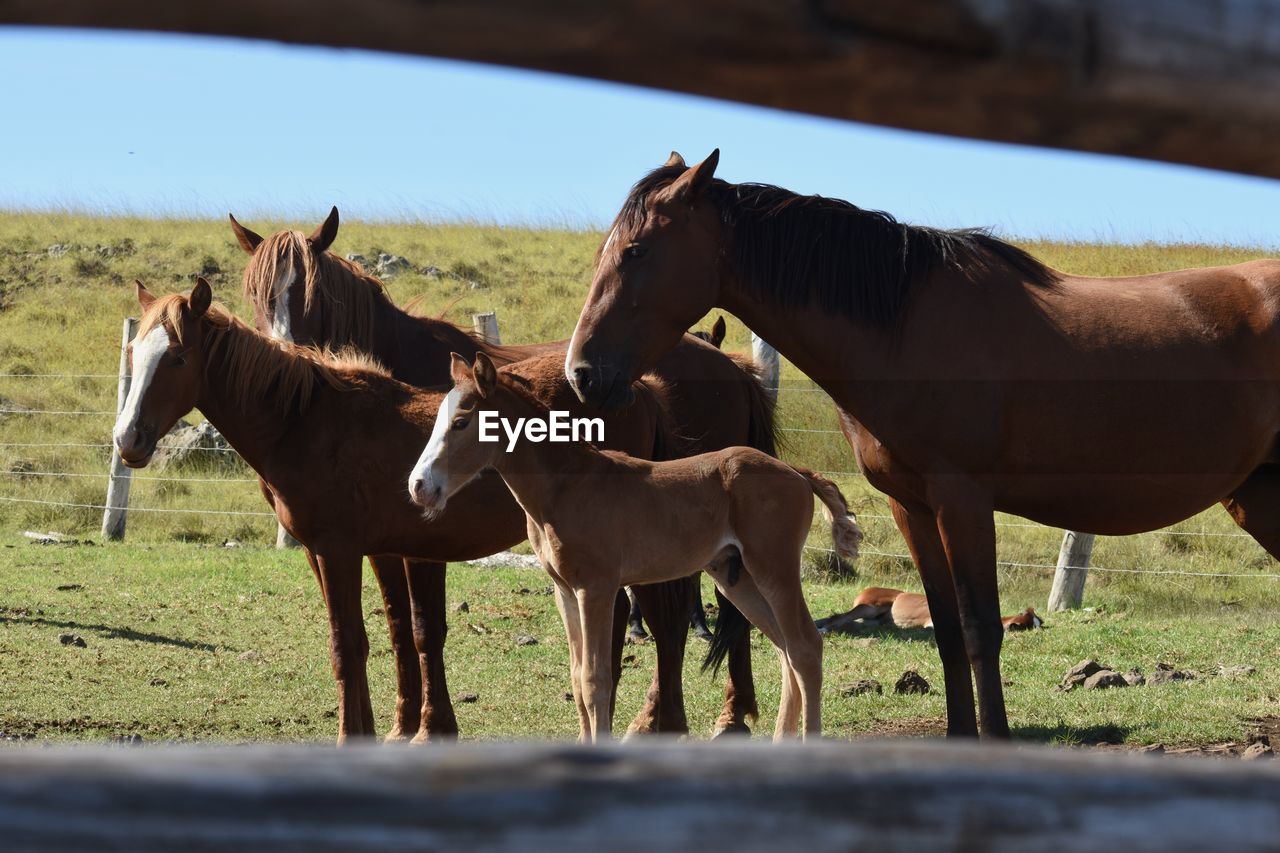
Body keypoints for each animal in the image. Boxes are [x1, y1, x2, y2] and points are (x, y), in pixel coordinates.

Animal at [409, 350, 865, 737]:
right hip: (735, 577)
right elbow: (576, 676)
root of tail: (798, 473)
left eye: (461, 422)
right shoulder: (564, 591)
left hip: (774, 568)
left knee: (805, 646)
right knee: (786, 649)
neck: (566, 485)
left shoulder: (596, 588)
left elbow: (595, 679)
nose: (419, 486)